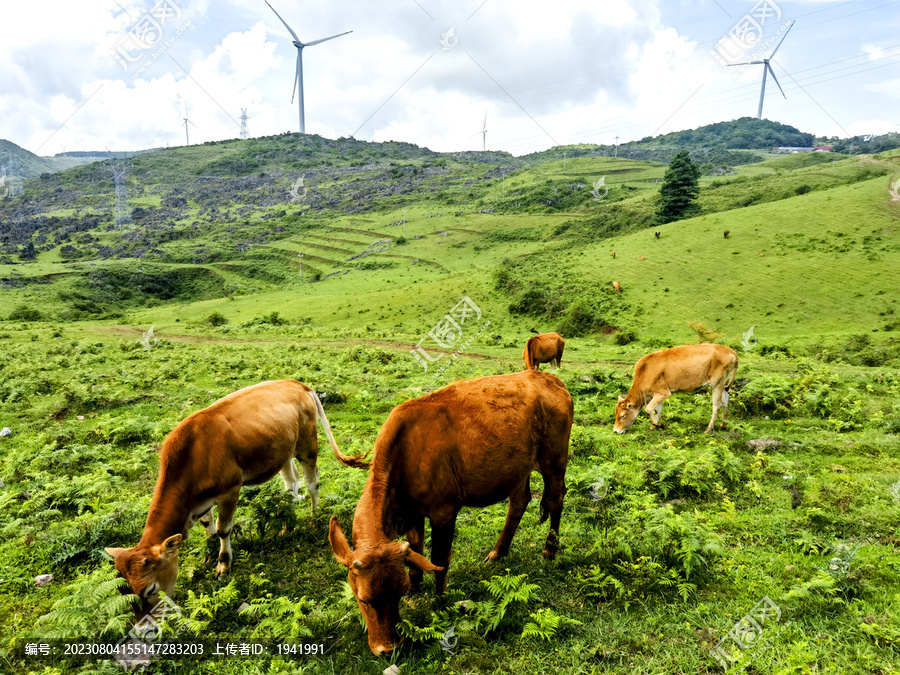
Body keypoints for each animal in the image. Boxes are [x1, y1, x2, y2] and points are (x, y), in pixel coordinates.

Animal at [107, 380, 368, 616]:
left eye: (150, 589)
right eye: (125, 593)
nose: (143, 624)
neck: (193, 454)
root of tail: (296, 383)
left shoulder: (230, 490)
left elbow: (224, 529)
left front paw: (223, 564)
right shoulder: (201, 499)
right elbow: (207, 524)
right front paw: (208, 551)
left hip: (307, 445)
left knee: (313, 482)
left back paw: (314, 517)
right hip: (283, 450)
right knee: (291, 484)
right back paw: (287, 525)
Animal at [326, 370, 572, 656]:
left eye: (397, 594)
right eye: (363, 599)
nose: (388, 649)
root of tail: (549, 378)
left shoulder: (444, 511)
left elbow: (439, 559)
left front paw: (439, 599)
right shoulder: (414, 513)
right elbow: (417, 549)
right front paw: (417, 585)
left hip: (554, 460)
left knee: (556, 500)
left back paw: (549, 550)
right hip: (517, 469)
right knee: (519, 502)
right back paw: (497, 552)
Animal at [612, 346, 740, 436]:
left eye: (623, 416)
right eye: (616, 414)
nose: (615, 431)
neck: (645, 371)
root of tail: (729, 350)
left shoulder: (663, 392)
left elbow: (648, 409)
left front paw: (658, 424)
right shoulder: (658, 394)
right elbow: (657, 410)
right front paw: (655, 426)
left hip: (716, 384)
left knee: (717, 406)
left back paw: (708, 429)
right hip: (722, 385)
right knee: (726, 401)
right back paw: (723, 425)